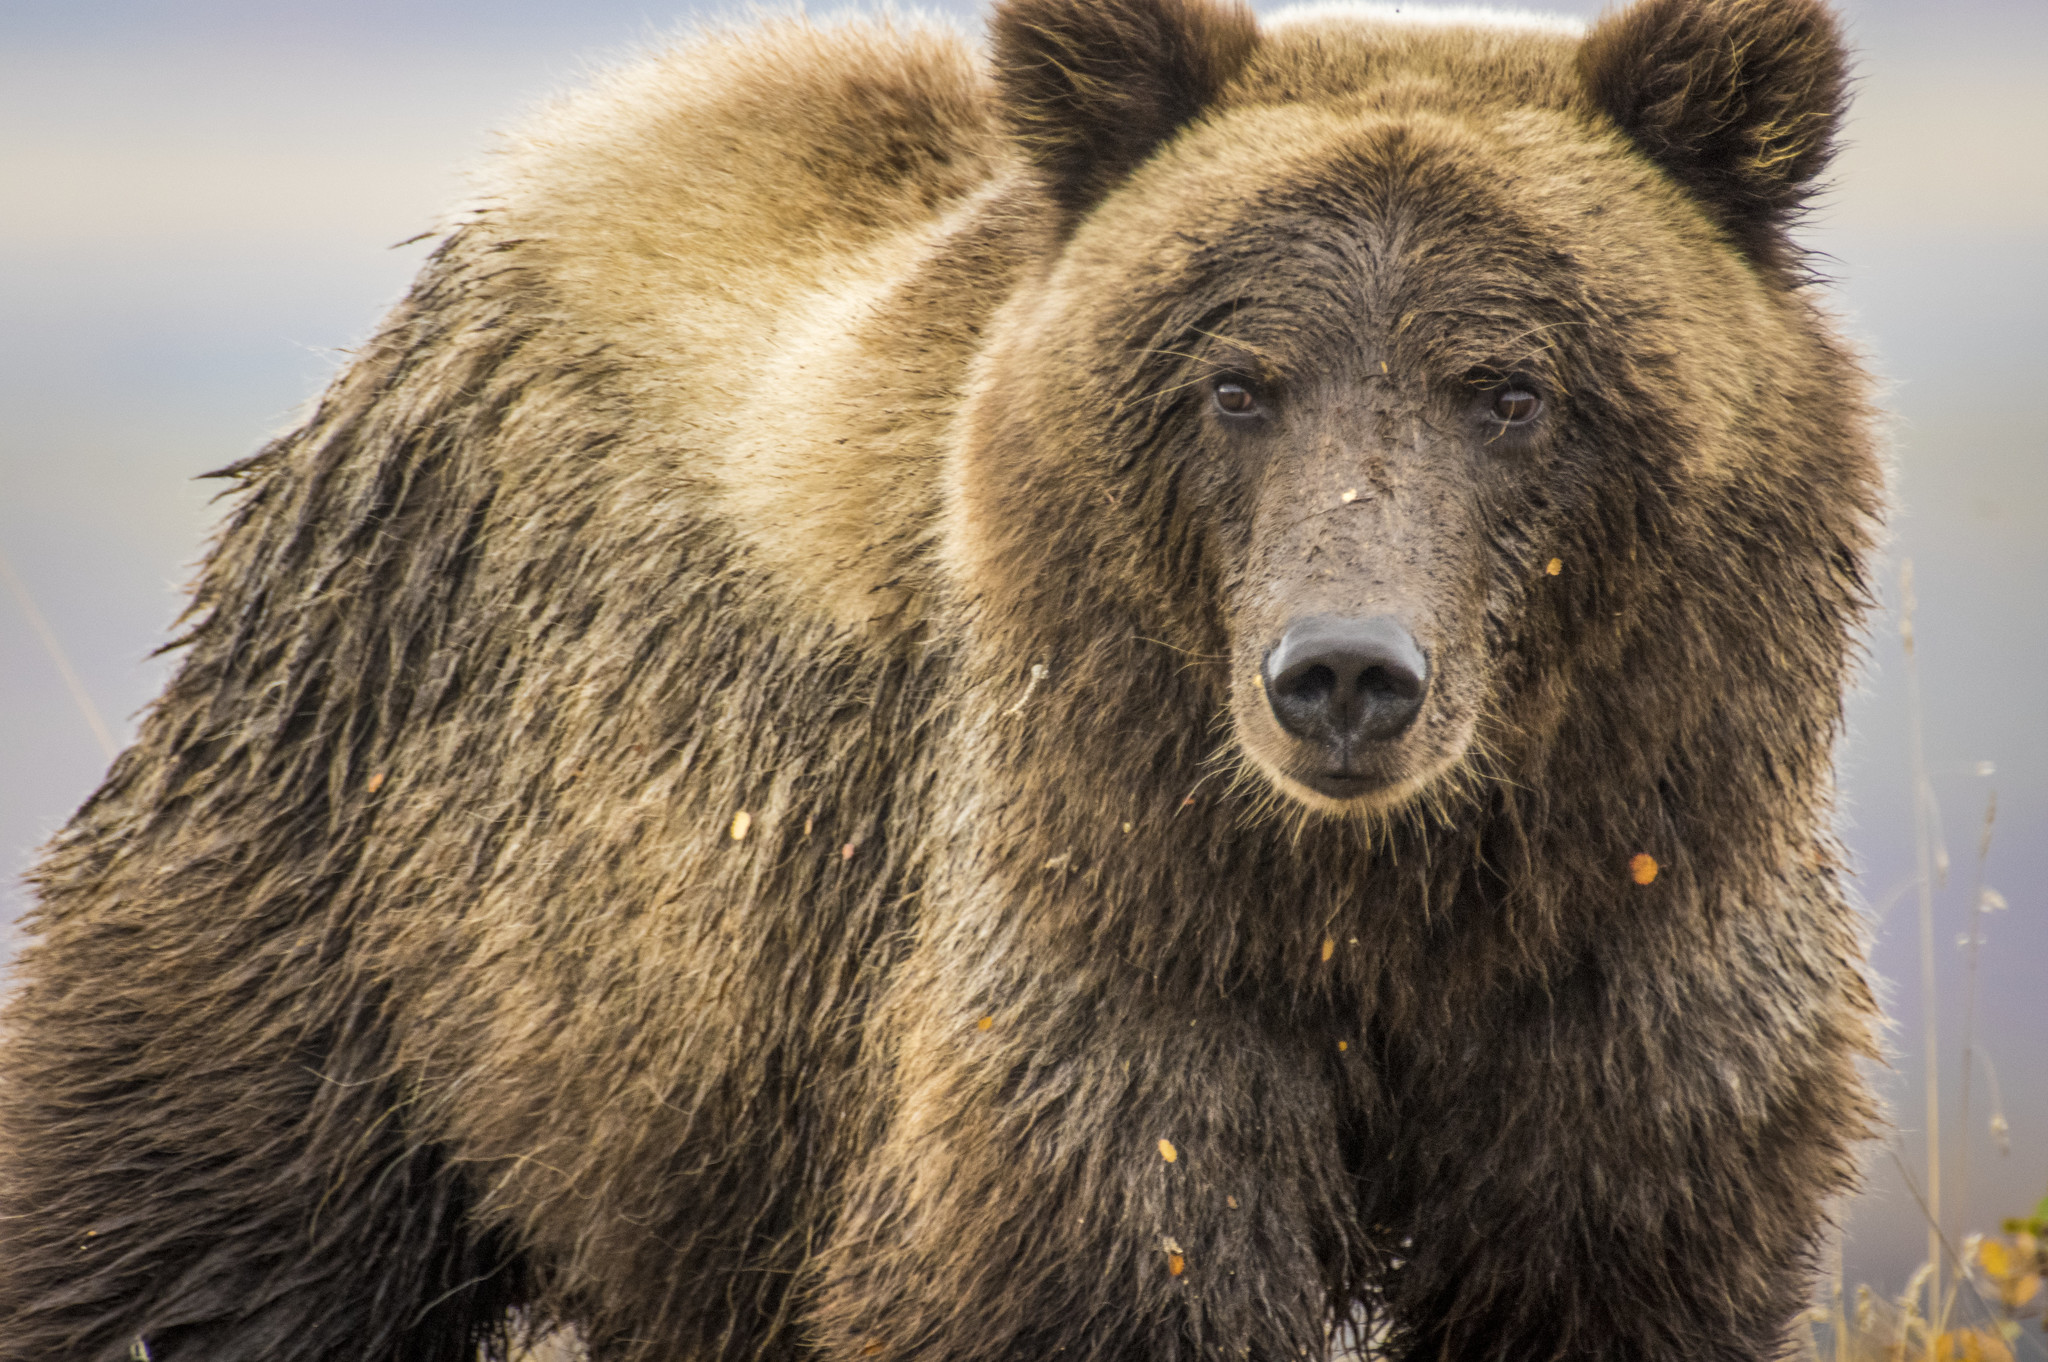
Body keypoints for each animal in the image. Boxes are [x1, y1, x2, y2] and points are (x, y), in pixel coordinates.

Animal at [4, 0, 1884, 1351]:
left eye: (1510, 388)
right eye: (1236, 381)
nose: (1346, 675)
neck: (1387, 899)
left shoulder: (1633, 964)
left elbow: (1613, 1261)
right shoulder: (1100, 945)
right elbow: (1097, 1262)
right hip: (382, 832)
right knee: (195, 1213)